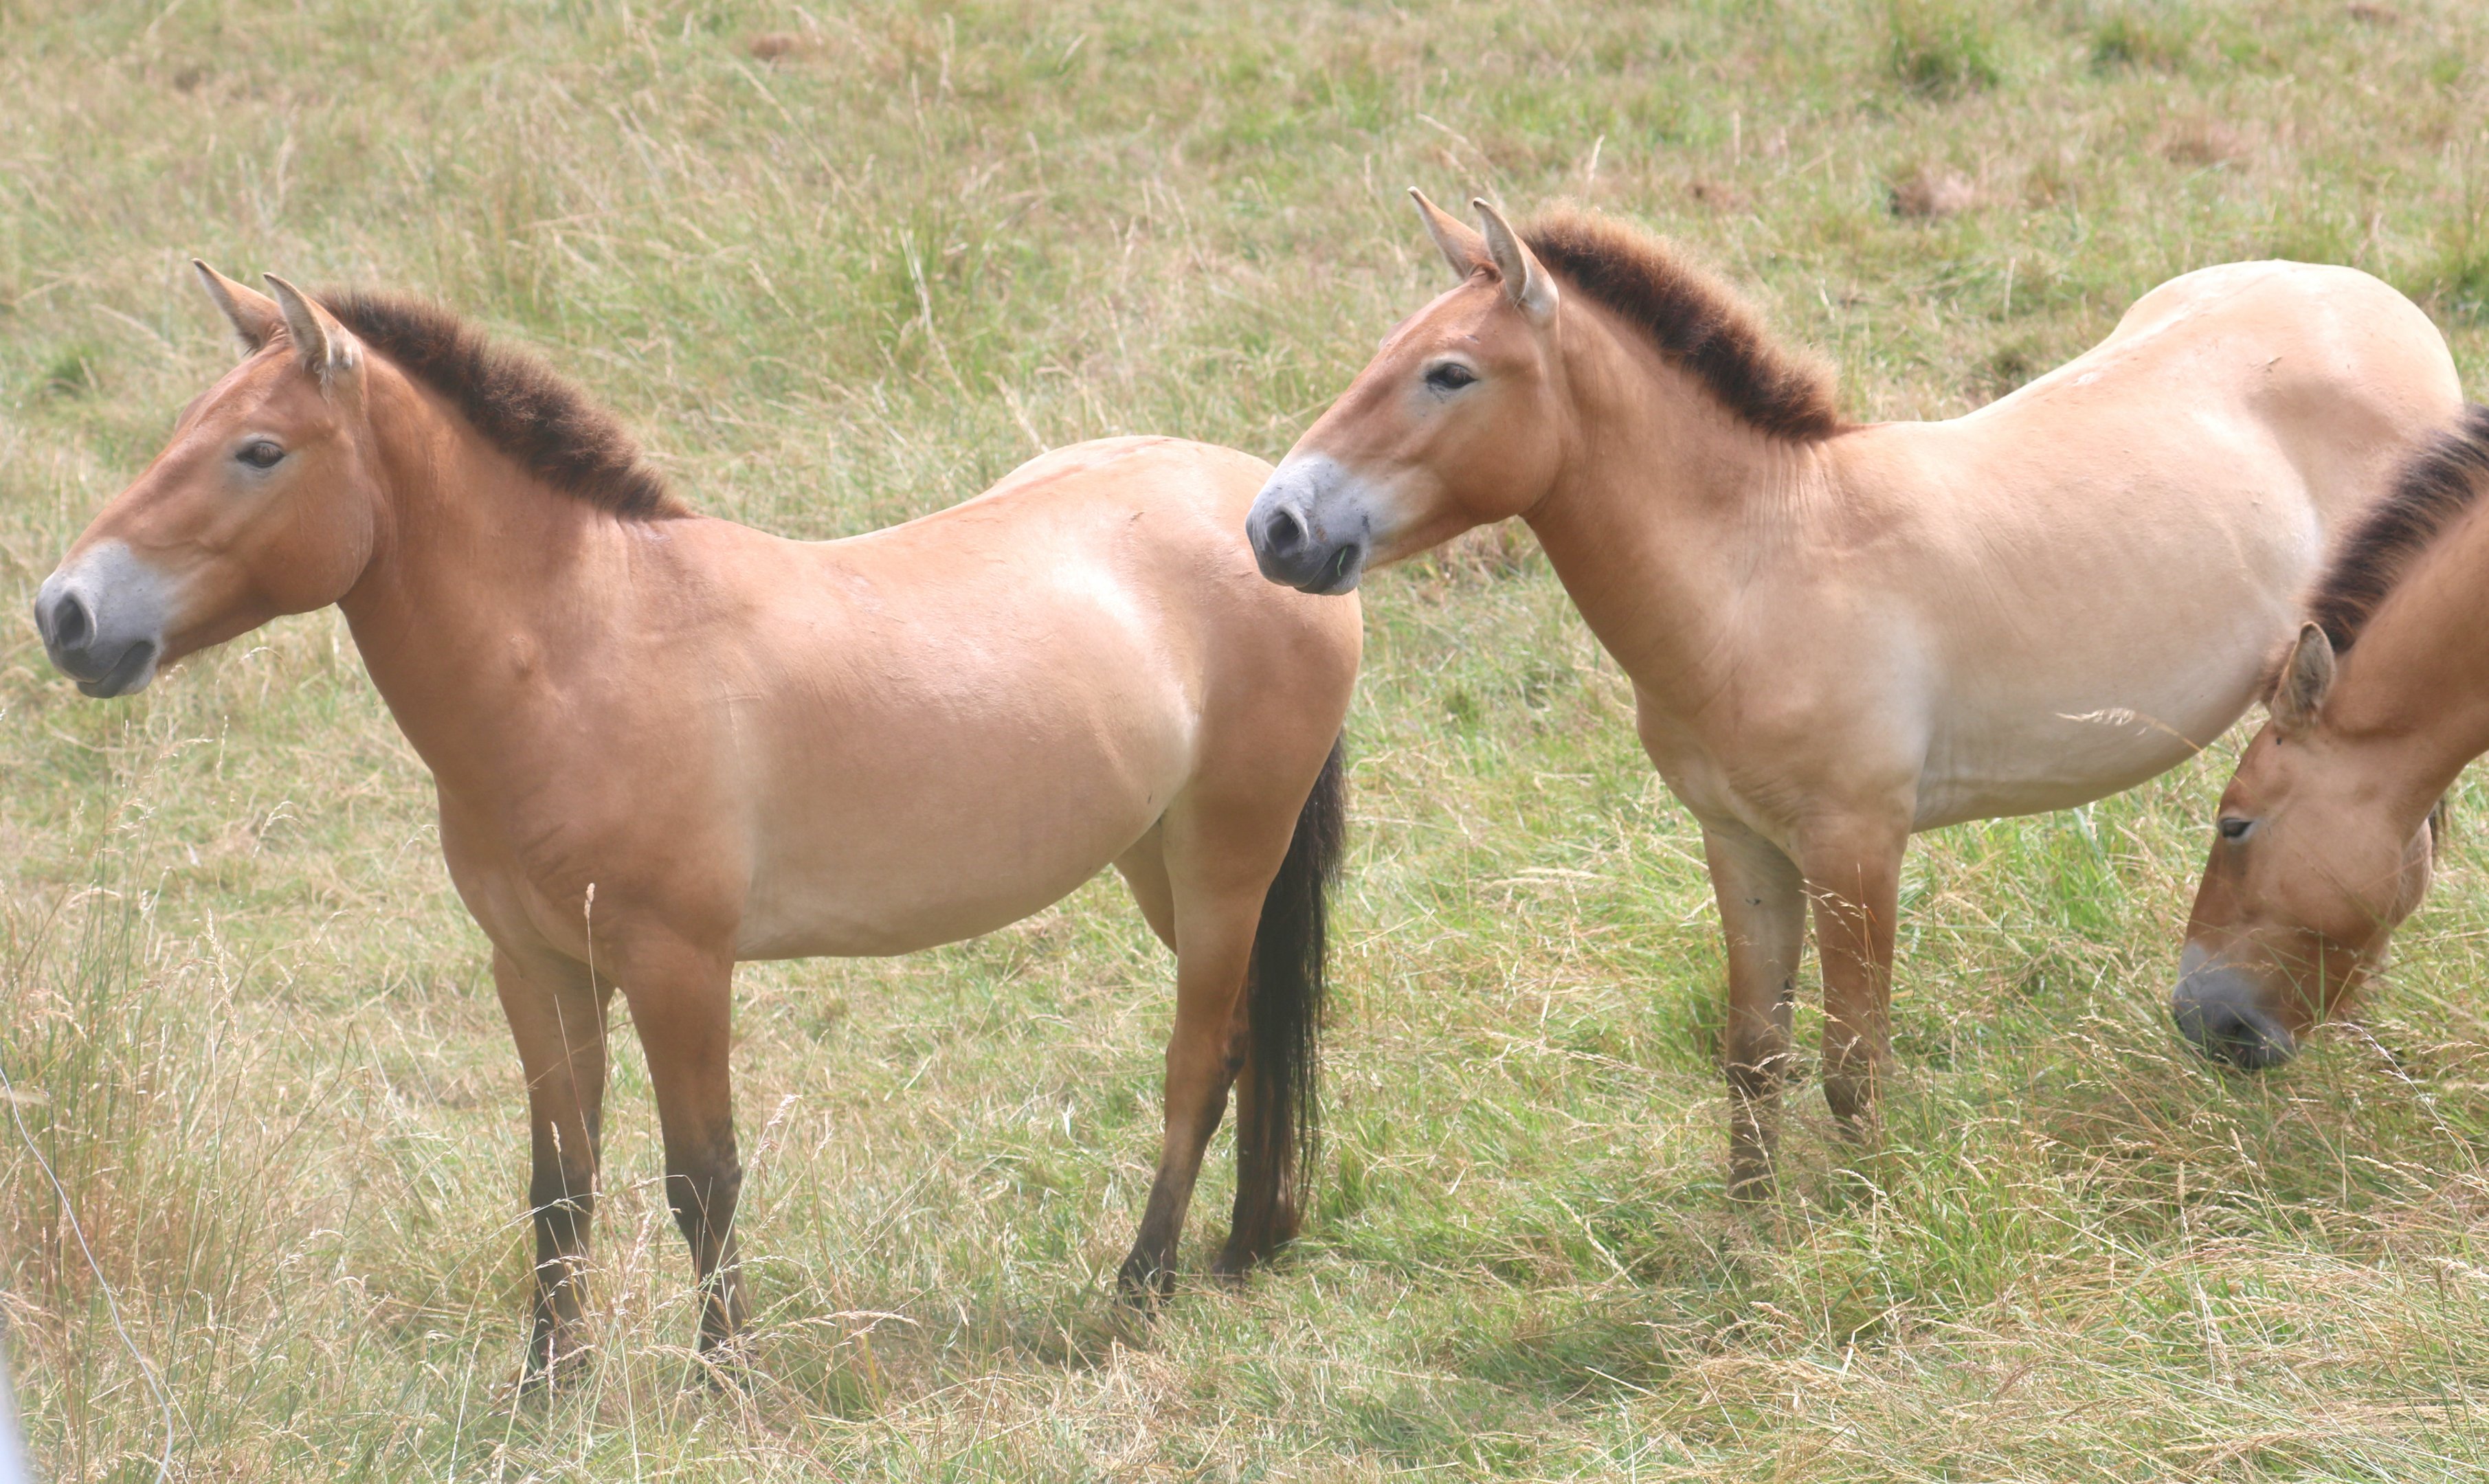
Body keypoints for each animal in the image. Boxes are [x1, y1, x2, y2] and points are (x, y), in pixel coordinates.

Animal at [31, 265, 1361, 1379]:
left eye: (258, 450)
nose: (65, 613)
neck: (588, 652)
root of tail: (1265, 514)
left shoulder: (680, 969)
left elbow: (701, 1179)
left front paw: (726, 1379)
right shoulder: (539, 971)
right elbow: (558, 1187)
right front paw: (546, 1390)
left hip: (1225, 858)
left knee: (1197, 1059)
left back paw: (1141, 1286)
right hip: (1161, 866)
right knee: (1247, 1039)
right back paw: (1240, 1250)